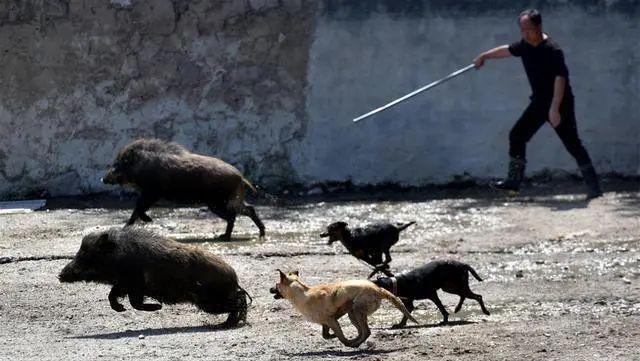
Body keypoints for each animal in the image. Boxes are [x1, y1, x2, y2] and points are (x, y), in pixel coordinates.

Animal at [270, 268, 420, 348]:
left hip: (357, 310)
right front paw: (332, 336)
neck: (303, 293)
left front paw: (345, 340)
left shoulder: (331, 320)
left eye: (276, 285)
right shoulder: (328, 321)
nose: (270, 289)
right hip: (352, 314)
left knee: (366, 332)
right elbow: (325, 335)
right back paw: (357, 341)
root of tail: (378, 289)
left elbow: (341, 337)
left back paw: (354, 343)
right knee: (362, 331)